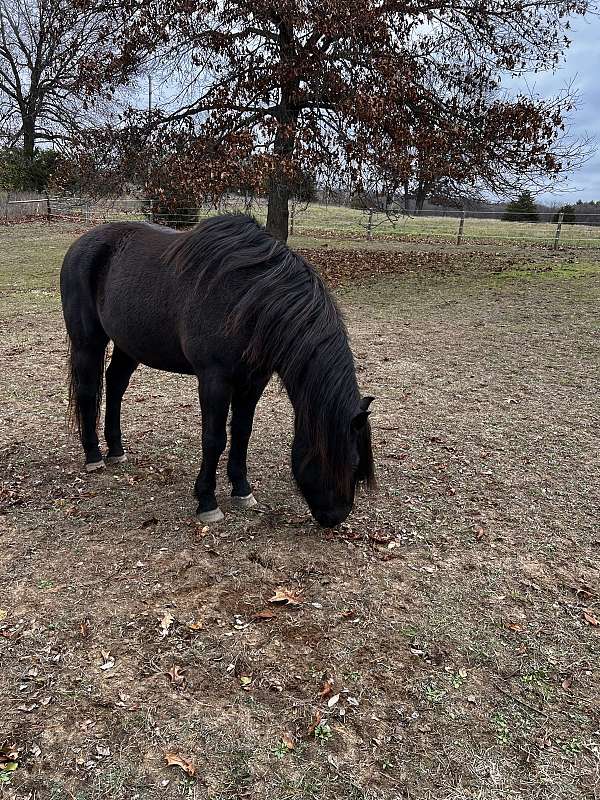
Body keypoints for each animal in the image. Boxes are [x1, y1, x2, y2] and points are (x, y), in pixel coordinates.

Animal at [60, 213, 375, 526]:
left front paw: (242, 491)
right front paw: (207, 501)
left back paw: (116, 451)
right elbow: (214, 439)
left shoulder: (253, 381)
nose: (335, 516)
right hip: (88, 342)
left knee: (115, 385)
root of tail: (80, 244)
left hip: (129, 344)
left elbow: (242, 433)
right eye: (350, 461)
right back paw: (93, 456)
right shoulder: (215, 380)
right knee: (88, 391)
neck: (250, 301)